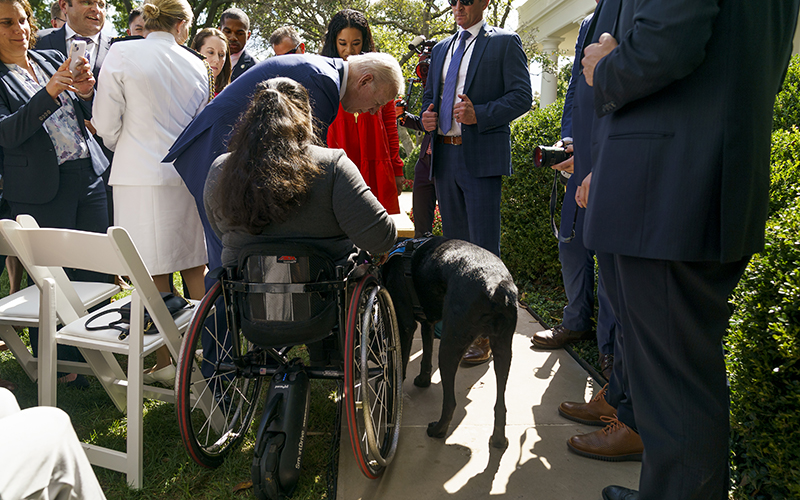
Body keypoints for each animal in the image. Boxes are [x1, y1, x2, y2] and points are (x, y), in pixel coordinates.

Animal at [382, 236, 520, 448]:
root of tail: (495, 285)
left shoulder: (404, 326)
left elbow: (402, 363)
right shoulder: (427, 323)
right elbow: (426, 355)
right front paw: (423, 380)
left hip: (450, 346)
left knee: (450, 403)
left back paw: (438, 430)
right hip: (503, 349)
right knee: (500, 405)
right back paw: (498, 440)